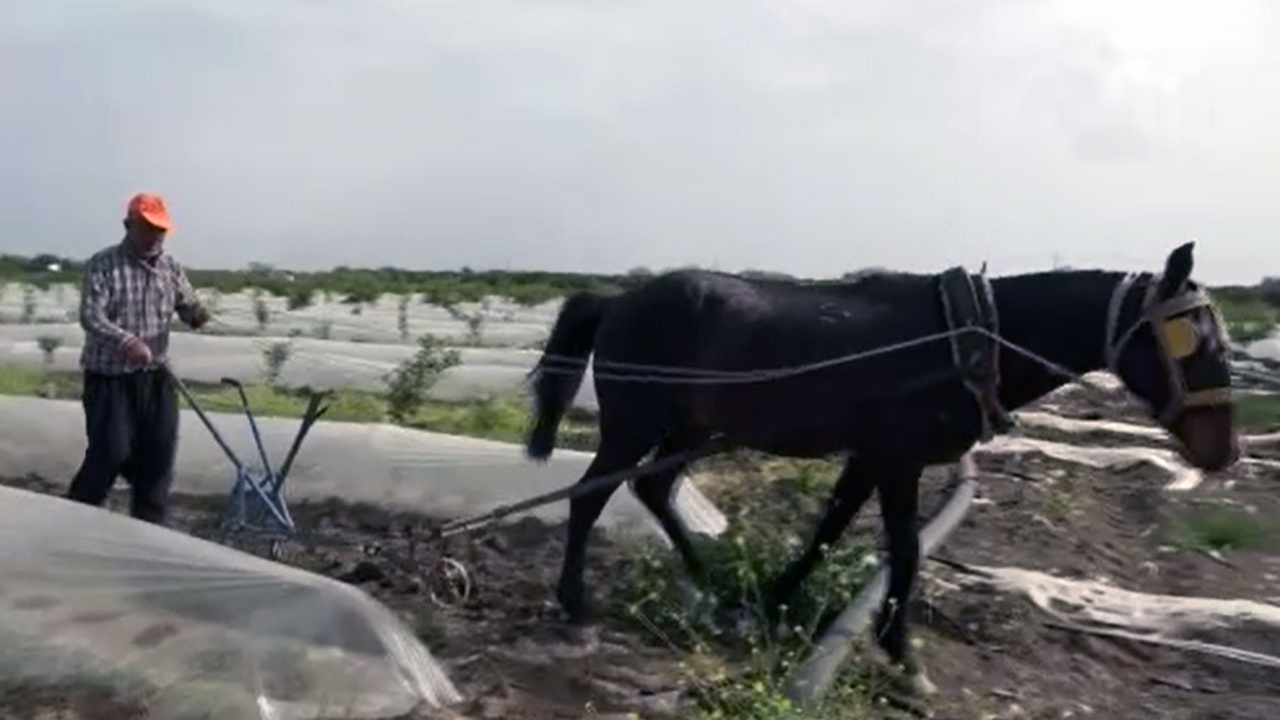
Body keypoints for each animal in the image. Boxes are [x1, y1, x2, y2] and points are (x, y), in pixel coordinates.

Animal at [522, 243, 1239, 686]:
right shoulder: (897, 461)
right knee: (591, 496)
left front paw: (772, 600)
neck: (968, 340)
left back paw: (712, 589)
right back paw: (575, 601)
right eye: (1193, 340)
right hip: (632, 424)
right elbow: (905, 547)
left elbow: (830, 528)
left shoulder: (870, 456)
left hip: (686, 428)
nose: (1224, 453)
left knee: (656, 489)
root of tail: (617, 301)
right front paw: (903, 655)